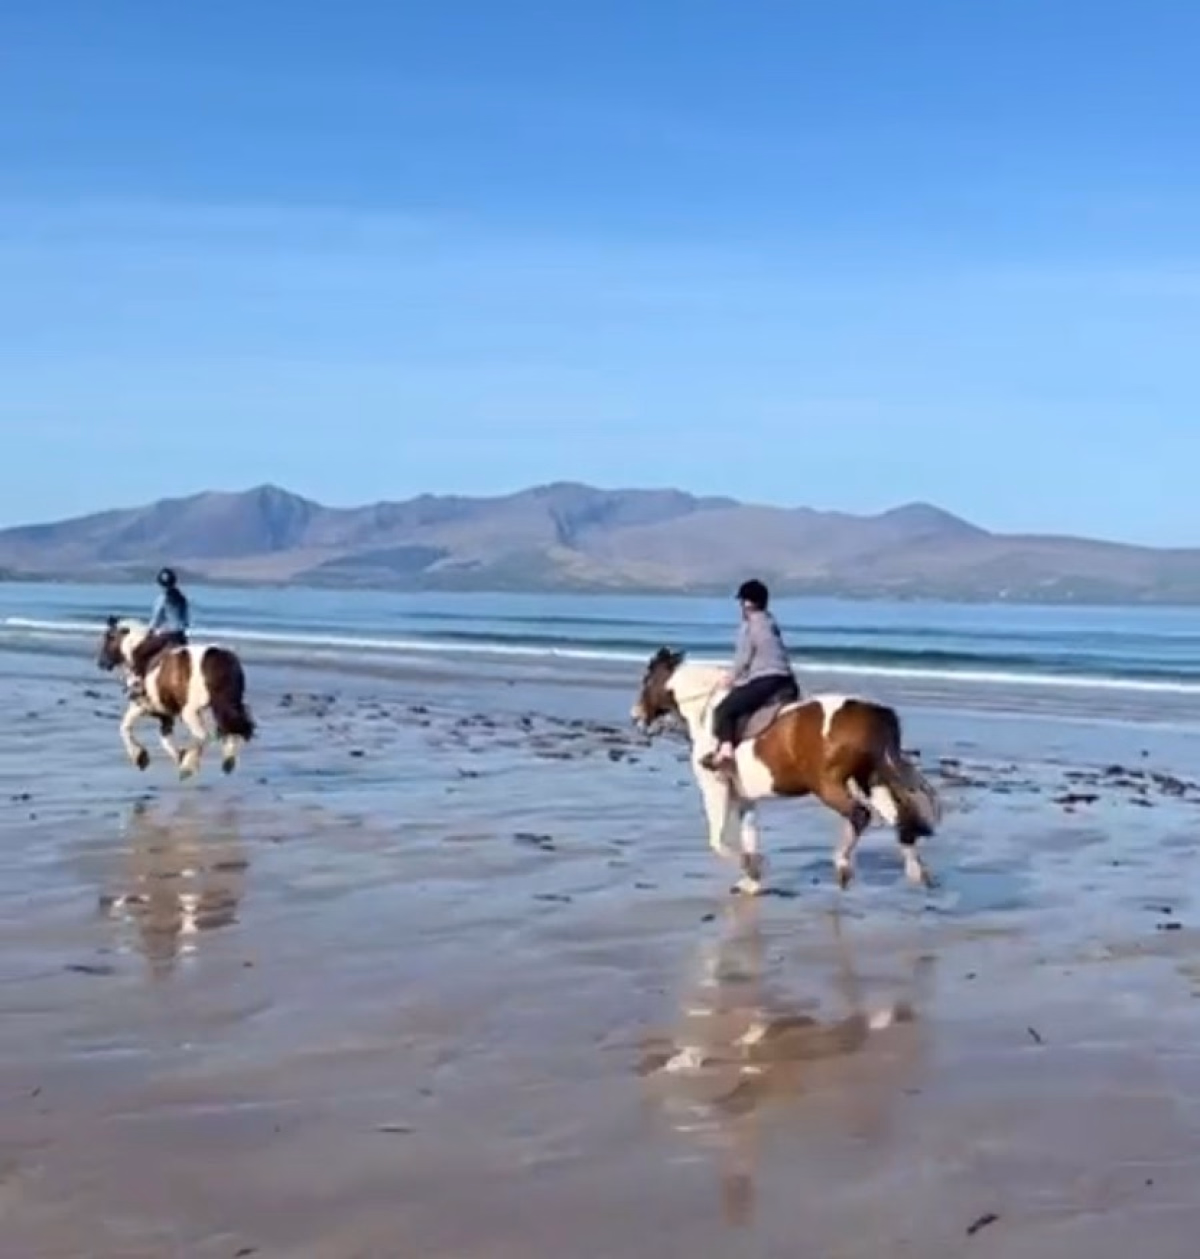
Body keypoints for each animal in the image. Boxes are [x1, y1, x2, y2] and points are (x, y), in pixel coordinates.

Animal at [95, 616, 256, 779]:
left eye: (109, 637)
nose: (101, 663)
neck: (141, 651)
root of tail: (220, 659)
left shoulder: (141, 706)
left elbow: (125, 727)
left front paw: (140, 757)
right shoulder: (165, 714)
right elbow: (165, 739)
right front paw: (178, 756)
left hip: (191, 712)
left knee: (204, 735)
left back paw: (188, 767)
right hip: (225, 705)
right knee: (232, 727)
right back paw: (227, 760)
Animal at [630, 647, 941, 895]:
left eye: (647, 679)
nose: (636, 717)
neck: (705, 711)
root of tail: (875, 713)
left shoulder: (715, 788)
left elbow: (717, 841)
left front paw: (753, 871)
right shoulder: (745, 798)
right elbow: (749, 836)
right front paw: (751, 882)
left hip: (828, 785)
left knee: (860, 815)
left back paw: (843, 866)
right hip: (870, 781)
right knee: (898, 819)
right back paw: (917, 873)